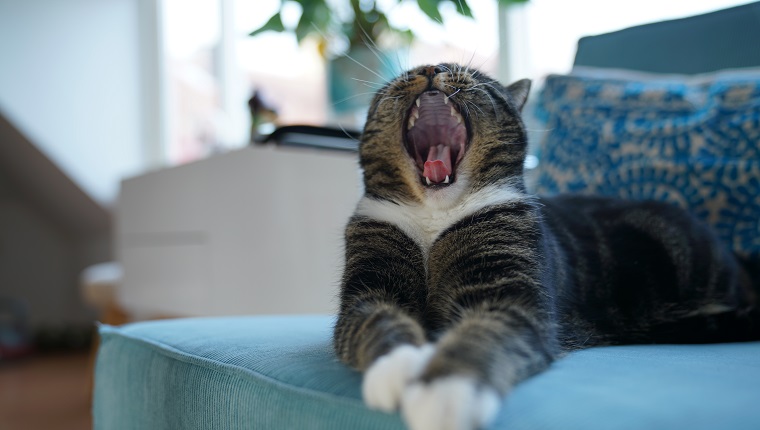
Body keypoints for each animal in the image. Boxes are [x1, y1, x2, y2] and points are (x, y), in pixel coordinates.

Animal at [332, 63, 760, 430]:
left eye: (471, 74)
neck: (434, 214)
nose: (431, 68)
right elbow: (375, 319)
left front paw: (445, 394)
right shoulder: (366, 290)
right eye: (401, 76)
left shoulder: (513, 295)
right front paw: (398, 367)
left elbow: (485, 331)